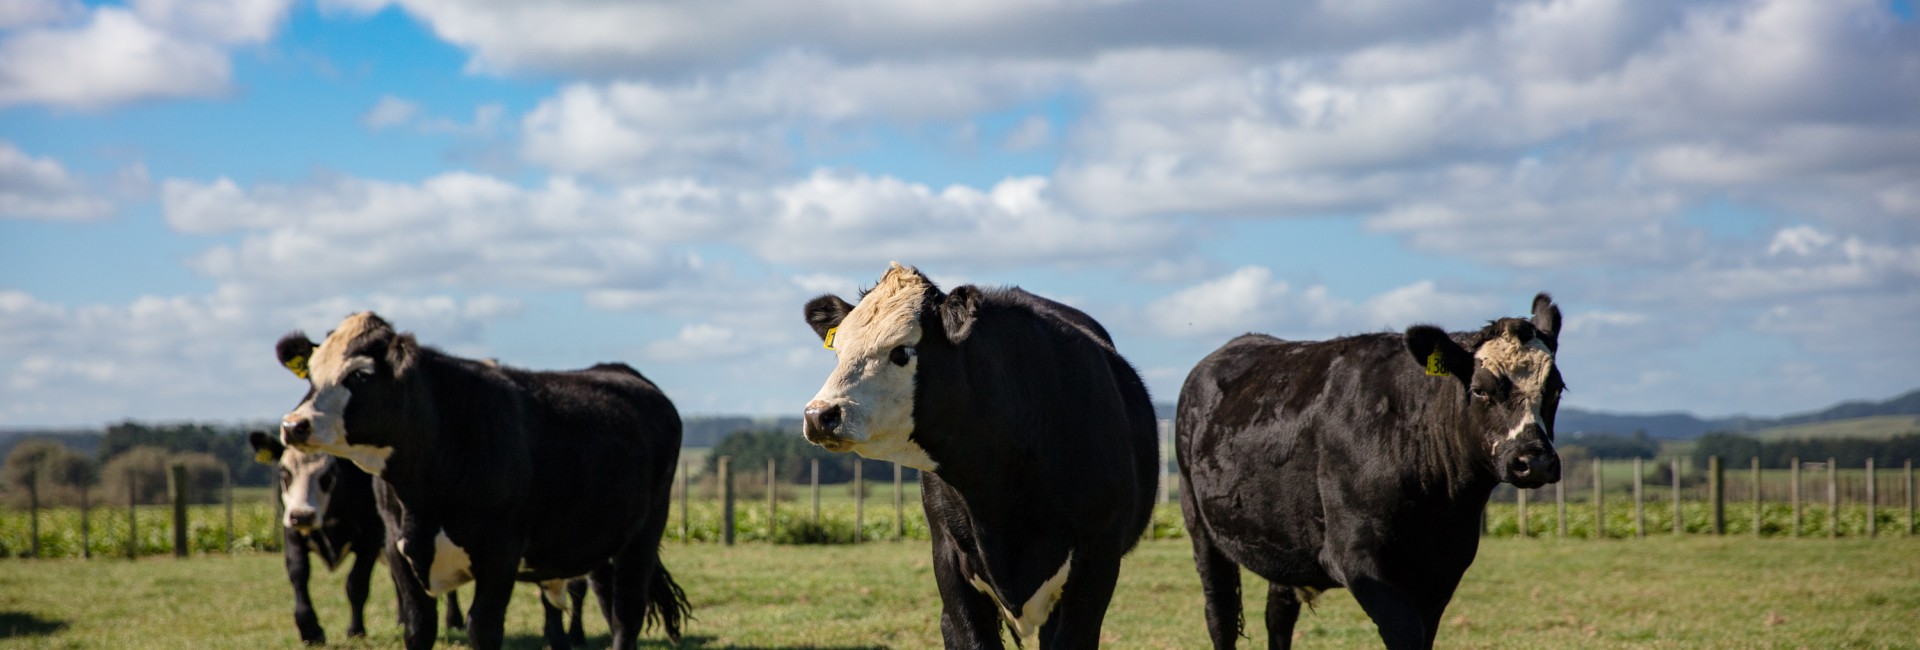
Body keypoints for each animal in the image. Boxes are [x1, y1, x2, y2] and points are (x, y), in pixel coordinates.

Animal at [270, 312, 691, 648]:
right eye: (311, 373)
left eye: (360, 374)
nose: (293, 425)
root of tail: (625, 374)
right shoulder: (397, 548)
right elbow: (418, 628)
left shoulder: (499, 554)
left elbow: (482, 628)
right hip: (598, 542)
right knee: (606, 602)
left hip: (642, 538)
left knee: (626, 615)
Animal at [1175, 295, 1566, 650]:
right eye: (1481, 390)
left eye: (1556, 389)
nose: (1534, 460)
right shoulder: (1357, 556)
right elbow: (1405, 634)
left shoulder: (1444, 567)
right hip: (1200, 524)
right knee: (1221, 615)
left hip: (1283, 533)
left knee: (1279, 615)